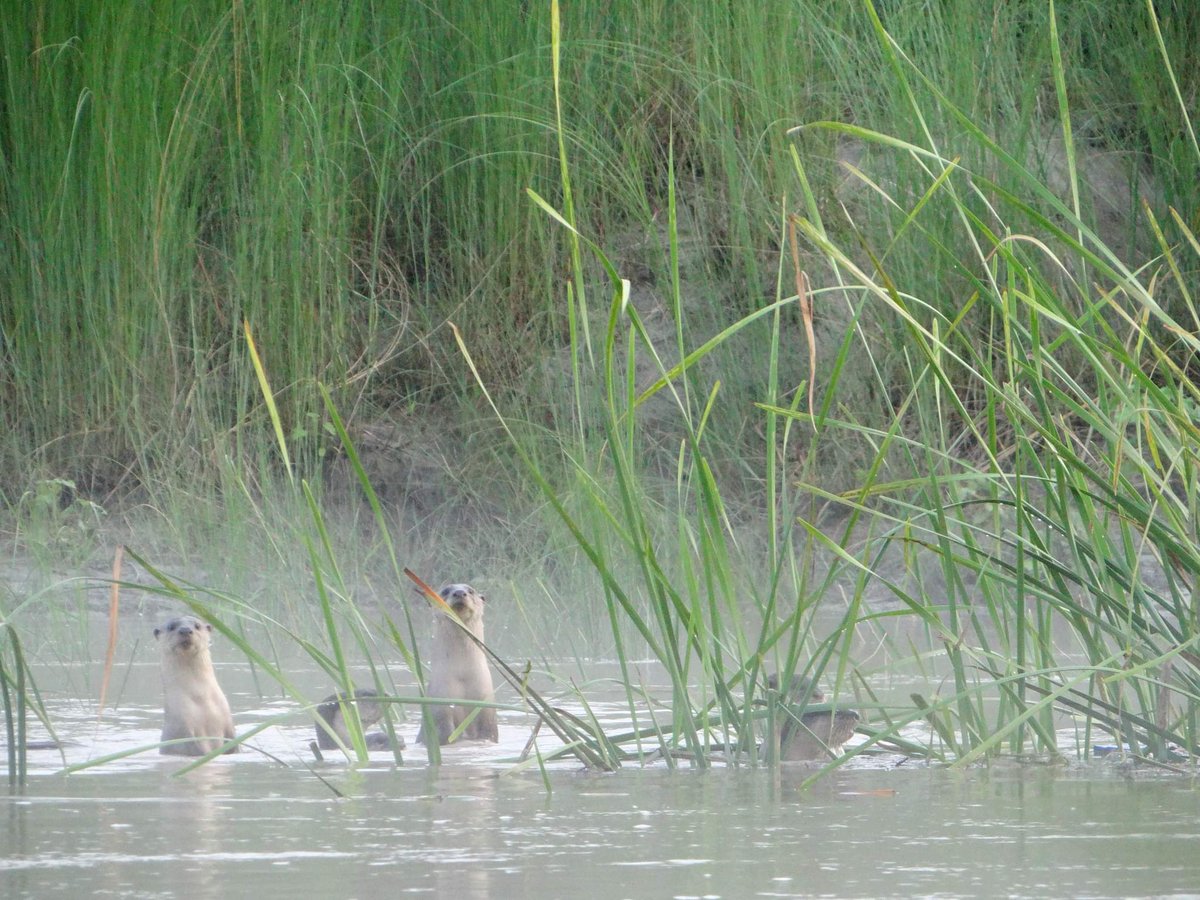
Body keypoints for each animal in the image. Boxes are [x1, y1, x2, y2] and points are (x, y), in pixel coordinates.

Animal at [154, 616, 237, 756]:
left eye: (197, 625)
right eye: (171, 627)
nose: (185, 630)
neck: (202, 700)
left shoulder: (227, 721)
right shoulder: (182, 725)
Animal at [416, 583, 498, 745]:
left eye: (470, 591)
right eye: (445, 591)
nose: (459, 593)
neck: (462, 675)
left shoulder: (486, 703)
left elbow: (489, 732)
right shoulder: (440, 703)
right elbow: (444, 732)